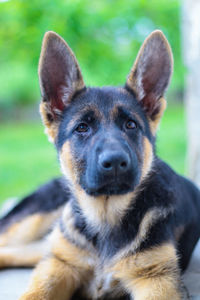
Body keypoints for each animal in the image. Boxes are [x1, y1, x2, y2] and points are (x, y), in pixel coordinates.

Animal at [0, 30, 200, 300]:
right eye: (82, 128)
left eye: (130, 125)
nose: (115, 162)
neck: (105, 217)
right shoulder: (58, 265)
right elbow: (34, 293)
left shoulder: (157, 279)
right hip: (36, 224)